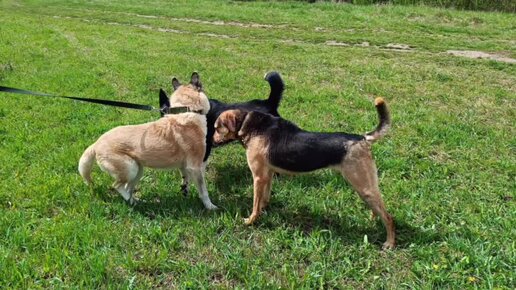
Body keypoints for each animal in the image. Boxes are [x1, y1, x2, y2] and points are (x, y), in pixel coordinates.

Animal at [78, 72, 218, 208]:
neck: (187, 109)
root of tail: (96, 143)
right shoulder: (196, 167)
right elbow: (203, 191)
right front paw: (210, 207)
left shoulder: (185, 167)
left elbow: (185, 181)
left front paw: (185, 193)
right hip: (131, 169)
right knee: (117, 186)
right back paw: (133, 202)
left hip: (138, 170)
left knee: (127, 188)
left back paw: (136, 202)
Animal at [213, 97, 396, 249]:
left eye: (217, 128)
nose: (211, 141)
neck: (247, 124)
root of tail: (362, 139)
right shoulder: (267, 175)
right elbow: (264, 198)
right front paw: (264, 209)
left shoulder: (258, 177)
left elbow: (255, 205)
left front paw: (250, 221)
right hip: (364, 186)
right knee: (377, 208)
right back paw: (371, 220)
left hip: (363, 185)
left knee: (389, 217)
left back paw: (389, 243)